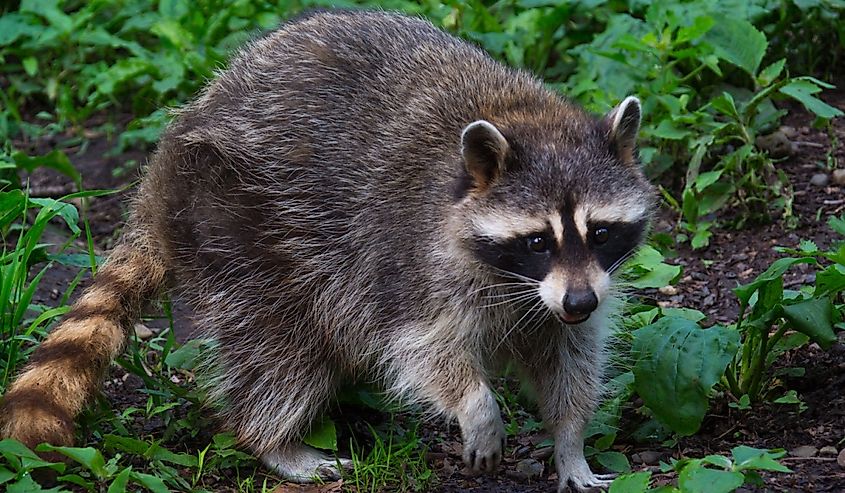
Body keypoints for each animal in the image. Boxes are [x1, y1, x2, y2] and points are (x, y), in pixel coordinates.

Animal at [0, 8, 652, 492]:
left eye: (600, 232)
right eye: (537, 239)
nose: (579, 303)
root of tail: (157, 178)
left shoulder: (564, 293)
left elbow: (569, 359)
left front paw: (570, 443)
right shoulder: (407, 259)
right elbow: (422, 349)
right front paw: (478, 409)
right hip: (236, 215)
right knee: (279, 345)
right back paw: (274, 440)